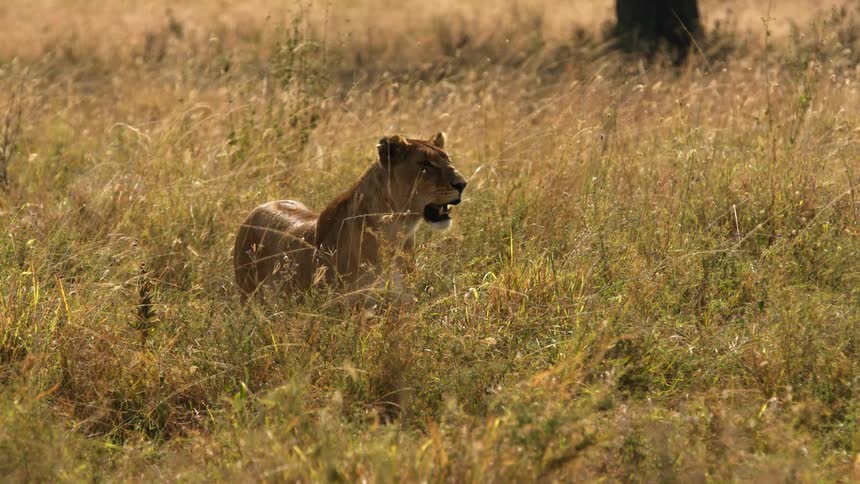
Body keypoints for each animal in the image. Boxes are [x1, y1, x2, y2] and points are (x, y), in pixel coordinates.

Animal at [232, 132, 467, 304]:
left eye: (448, 160)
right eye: (426, 164)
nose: (463, 184)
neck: (396, 232)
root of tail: (260, 207)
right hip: (249, 296)